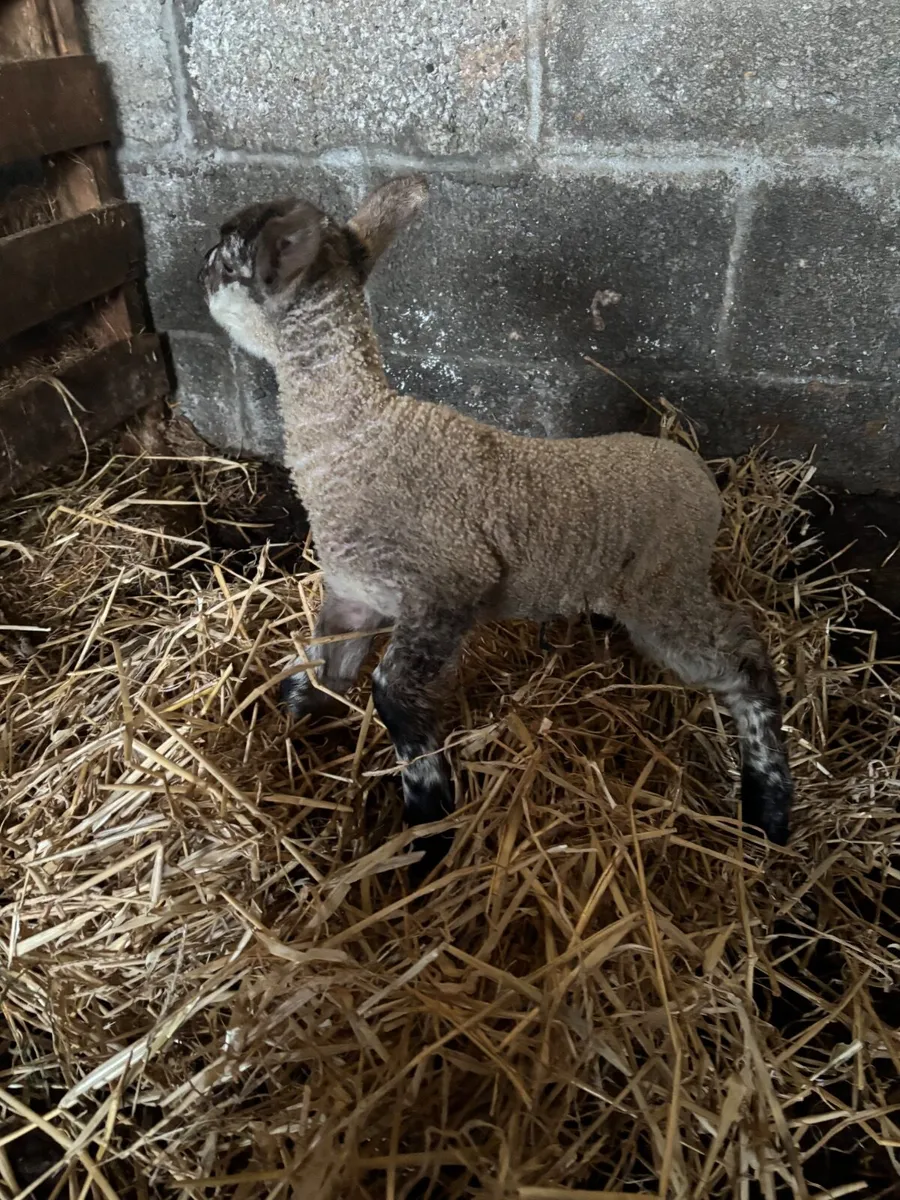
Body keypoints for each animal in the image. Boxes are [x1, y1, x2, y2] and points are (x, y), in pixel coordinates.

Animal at [199, 175, 793, 872]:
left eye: (223, 259)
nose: (196, 270)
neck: (355, 431)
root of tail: (700, 474)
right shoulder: (354, 592)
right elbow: (329, 665)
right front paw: (298, 708)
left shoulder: (448, 585)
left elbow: (393, 696)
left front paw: (428, 830)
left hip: (665, 584)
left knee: (744, 658)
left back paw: (768, 808)